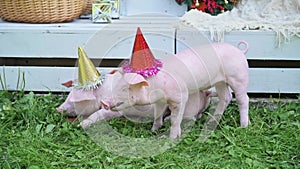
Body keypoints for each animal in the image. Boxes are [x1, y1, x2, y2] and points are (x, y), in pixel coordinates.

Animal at [102, 41, 250, 138]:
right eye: (117, 85)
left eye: (125, 88)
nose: (104, 102)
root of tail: (239, 51)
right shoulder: (159, 100)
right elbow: (157, 114)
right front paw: (154, 130)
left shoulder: (180, 97)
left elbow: (175, 119)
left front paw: (173, 138)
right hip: (220, 82)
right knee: (226, 97)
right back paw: (213, 119)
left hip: (239, 77)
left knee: (243, 99)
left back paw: (244, 125)